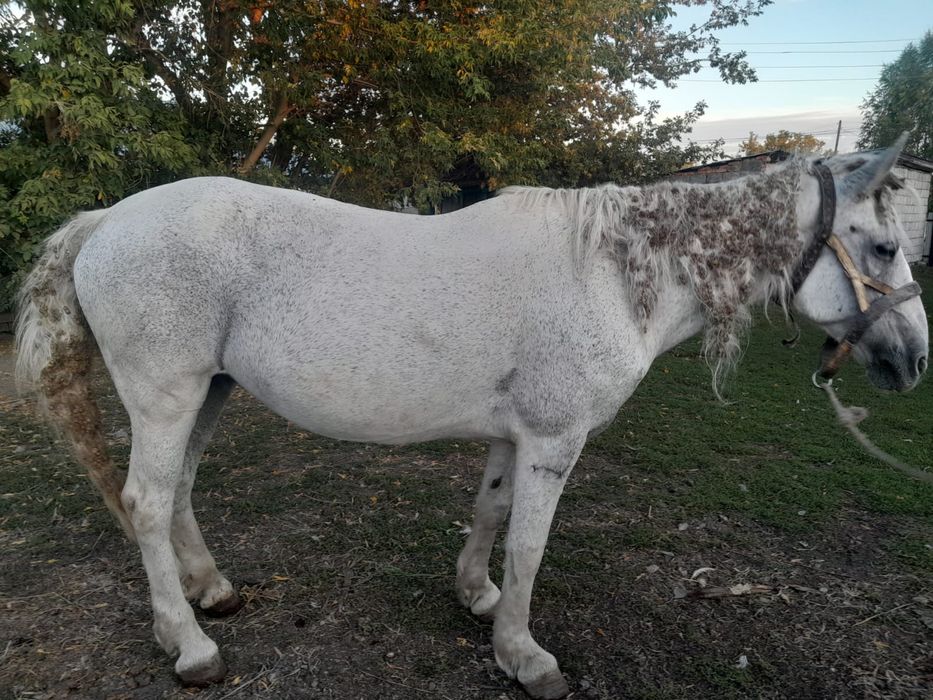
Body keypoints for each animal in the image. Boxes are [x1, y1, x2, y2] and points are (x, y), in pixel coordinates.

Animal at [15, 136, 927, 699]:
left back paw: (212, 591)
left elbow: (490, 513)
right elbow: (529, 544)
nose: (914, 360)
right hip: (165, 396)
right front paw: (523, 656)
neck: (613, 273)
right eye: (883, 247)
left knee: (176, 495)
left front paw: (476, 596)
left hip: (209, 391)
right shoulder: (555, 440)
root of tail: (109, 219)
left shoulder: (512, 435)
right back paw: (191, 646)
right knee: (143, 502)